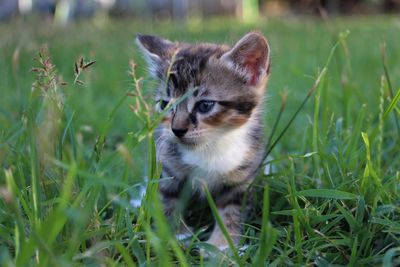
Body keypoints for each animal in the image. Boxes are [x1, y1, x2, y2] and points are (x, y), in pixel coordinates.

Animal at [136, 31, 270, 251]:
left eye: (205, 105)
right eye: (165, 104)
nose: (177, 129)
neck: (210, 146)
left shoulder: (240, 179)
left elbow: (231, 212)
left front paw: (222, 246)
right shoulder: (168, 170)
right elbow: (169, 203)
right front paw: (176, 237)